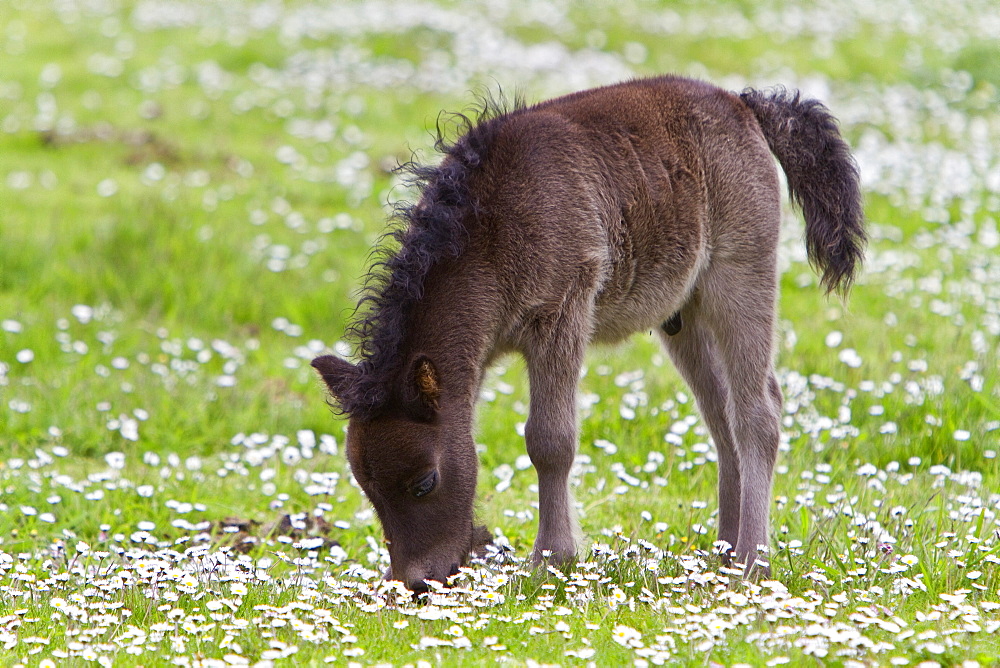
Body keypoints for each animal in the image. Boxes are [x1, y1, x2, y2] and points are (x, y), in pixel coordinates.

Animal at [314, 75, 868, 592]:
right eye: (366, 486)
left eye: (425, 482)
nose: (416, 582)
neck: (491, 229)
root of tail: (743, 105)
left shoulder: (561, 314)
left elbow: (549, 440)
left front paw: (550, 560)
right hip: (684, 317)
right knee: (721, 416)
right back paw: (723, 555)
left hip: (740, 277)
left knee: (758, 411)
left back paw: (752, 563)